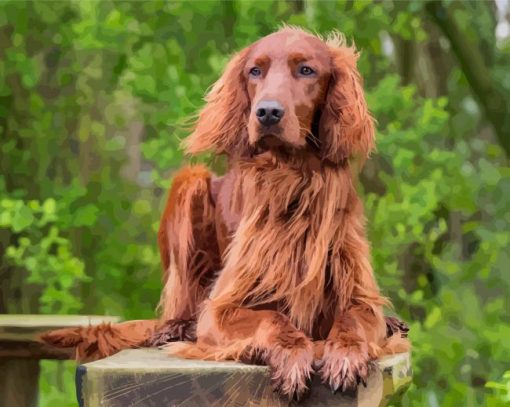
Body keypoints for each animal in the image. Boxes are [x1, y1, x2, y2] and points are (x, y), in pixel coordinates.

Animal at [43, 27, 410, 402]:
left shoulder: (357, 293)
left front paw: (346, 354)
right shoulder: (221, 308)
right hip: (190, 182)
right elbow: (271, 319)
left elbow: (353, 320)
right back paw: (176, 328)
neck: (291, 177)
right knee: (182, 304)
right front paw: (293, 356)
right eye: (255, 71)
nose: (267, 113)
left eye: (306, 70)